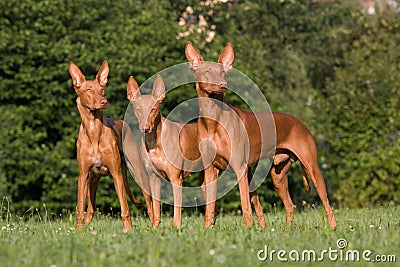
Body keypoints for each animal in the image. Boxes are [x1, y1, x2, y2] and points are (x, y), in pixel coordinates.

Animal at [69, 61, 153, 232]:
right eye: (89, 90)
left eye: (102, 89)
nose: (104, 101)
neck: (94, 130)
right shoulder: (82, 175)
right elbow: (80, 207)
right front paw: (78, 229)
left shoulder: (116, 174)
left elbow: (124, 207)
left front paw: (128, 229)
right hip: (92, 180)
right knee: (90, 208)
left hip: (138, 171)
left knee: (150, 204)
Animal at [127, 75, 203, 228]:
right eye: (138, 109)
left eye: (154, 109)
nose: (145, 128)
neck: (154, 143)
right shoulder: (154, 178)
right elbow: (156, 208)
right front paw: (155, 228)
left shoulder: (176, 179)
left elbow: (177, 209)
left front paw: (176, 228)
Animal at [186, 42, 336, 230]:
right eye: (206, 71)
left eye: (222, 72)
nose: (223, 84)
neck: (213, 119)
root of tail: (299, 122)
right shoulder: (210, 170)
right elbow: (210, 207)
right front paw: (207, 228)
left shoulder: (240, 168)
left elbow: (245, 205)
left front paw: (248, 228)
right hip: (278, 176)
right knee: (290, 205)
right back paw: (287, 230)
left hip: (312, 167)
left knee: (326, 203)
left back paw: (333, 228)